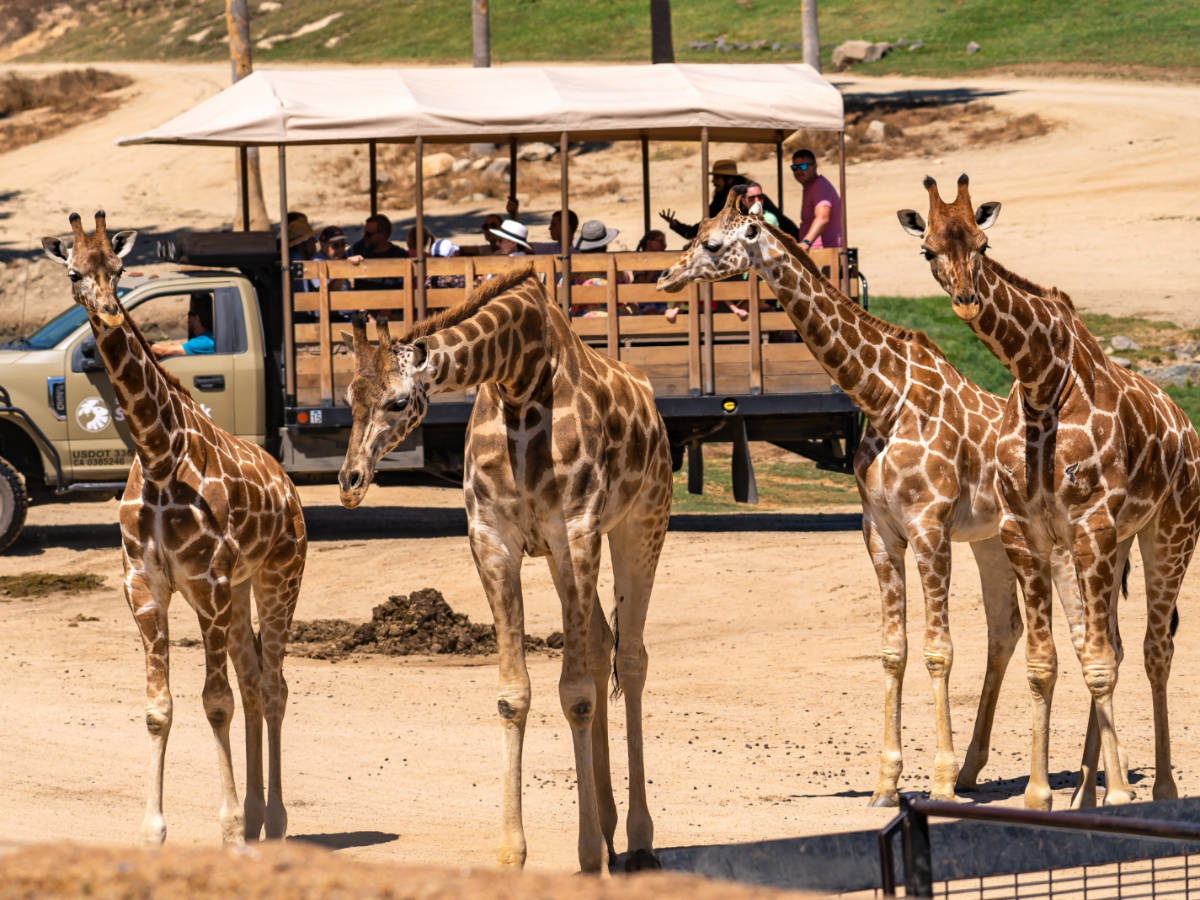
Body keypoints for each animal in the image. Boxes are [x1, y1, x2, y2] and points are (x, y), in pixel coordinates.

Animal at [42, 212, 307, 844]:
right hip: (240, 591)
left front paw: (228, 828)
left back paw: (274, 822)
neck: (159, 455)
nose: (109, 311)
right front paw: (155, 832)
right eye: (73, 271)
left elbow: (215, 702)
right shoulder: (146, 587)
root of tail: (289, 487)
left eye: (119, 268)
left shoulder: (206, 586)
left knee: (275, 686)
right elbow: (158, 708)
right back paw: (259, 820)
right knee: (255, 682)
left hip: (279, 578)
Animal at [337, 265, 673, 873]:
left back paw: (637, 842)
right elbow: (513, 695)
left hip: (642, 521)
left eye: (397, 402)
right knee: (602, 644)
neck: (522, 379)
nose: (350, 484)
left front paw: (588, 855)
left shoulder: (577, 532)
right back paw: (611, 830)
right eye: (350, 396)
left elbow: (576, 694)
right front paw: (513, 853)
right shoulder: (492, 540)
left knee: (632, 657)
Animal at [656, 189, 1025, 806]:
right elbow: (894, 651)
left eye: (711, 243)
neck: (884, 397)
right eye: (696, 232)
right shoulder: (881, 533)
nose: (664, 277)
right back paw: (978, 769)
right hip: (992, 540)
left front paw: (940, 782)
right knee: (1008, 628)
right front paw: (886, 783)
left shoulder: (929, 528)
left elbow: (938, 650)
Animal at [898, 174, 1200, 809]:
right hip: (1117, 543)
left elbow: (1100, 662)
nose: (966, 299)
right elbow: (1046, 661)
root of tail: (1185, 423)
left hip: (1171, 531)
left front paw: (1120, 796)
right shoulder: (1026, 530)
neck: (1041, 381)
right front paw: (1042, 796)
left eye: (983, 243)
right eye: (928, 250)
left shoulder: (1092, 523)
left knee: (1153, 649)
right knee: (1112, 640)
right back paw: (1087, 792)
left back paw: (1159, 788)